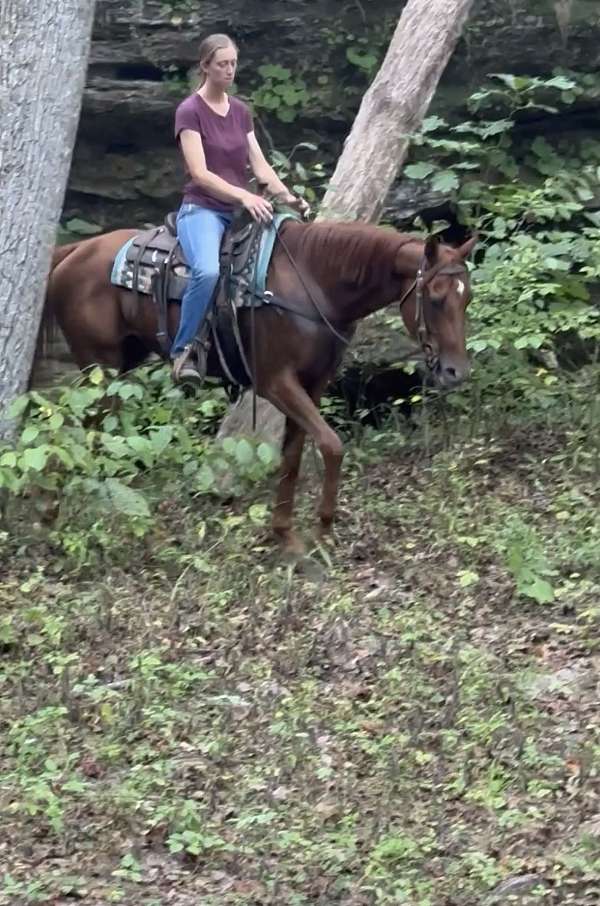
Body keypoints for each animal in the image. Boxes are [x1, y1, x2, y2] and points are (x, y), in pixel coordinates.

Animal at [45, 219, 478, 552]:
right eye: (435, 298)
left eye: (466, 298)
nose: (456, 371)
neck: (313, 284)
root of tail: (77, 250)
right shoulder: (276, 383)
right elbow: (332, 446)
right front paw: (323, 529)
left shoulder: (312, 384)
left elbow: (294, 454)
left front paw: (285, 533)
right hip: (98, 369)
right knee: (81, 435)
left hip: (120, 368)